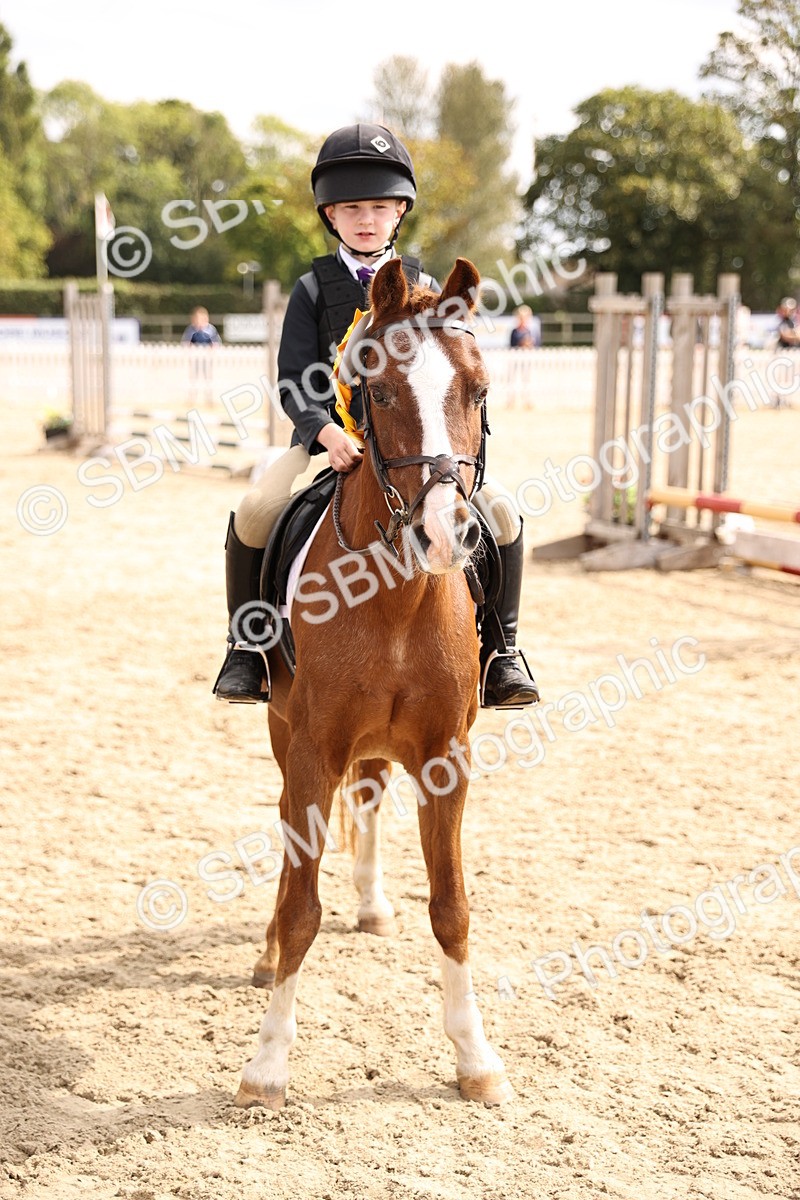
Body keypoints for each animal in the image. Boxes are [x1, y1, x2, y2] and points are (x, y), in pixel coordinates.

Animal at [234, 256, 514, 1109]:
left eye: (478, 389)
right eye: (380, 392)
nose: (444, 535)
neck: (395, 598)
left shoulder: (444, 757)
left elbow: (452, 908)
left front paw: (475, 1059)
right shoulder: (313, 749)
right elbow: (300, 908)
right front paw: (266, 1067)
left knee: (366, 800)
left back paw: (371, 903)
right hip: (284, 734)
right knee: (291, 830)